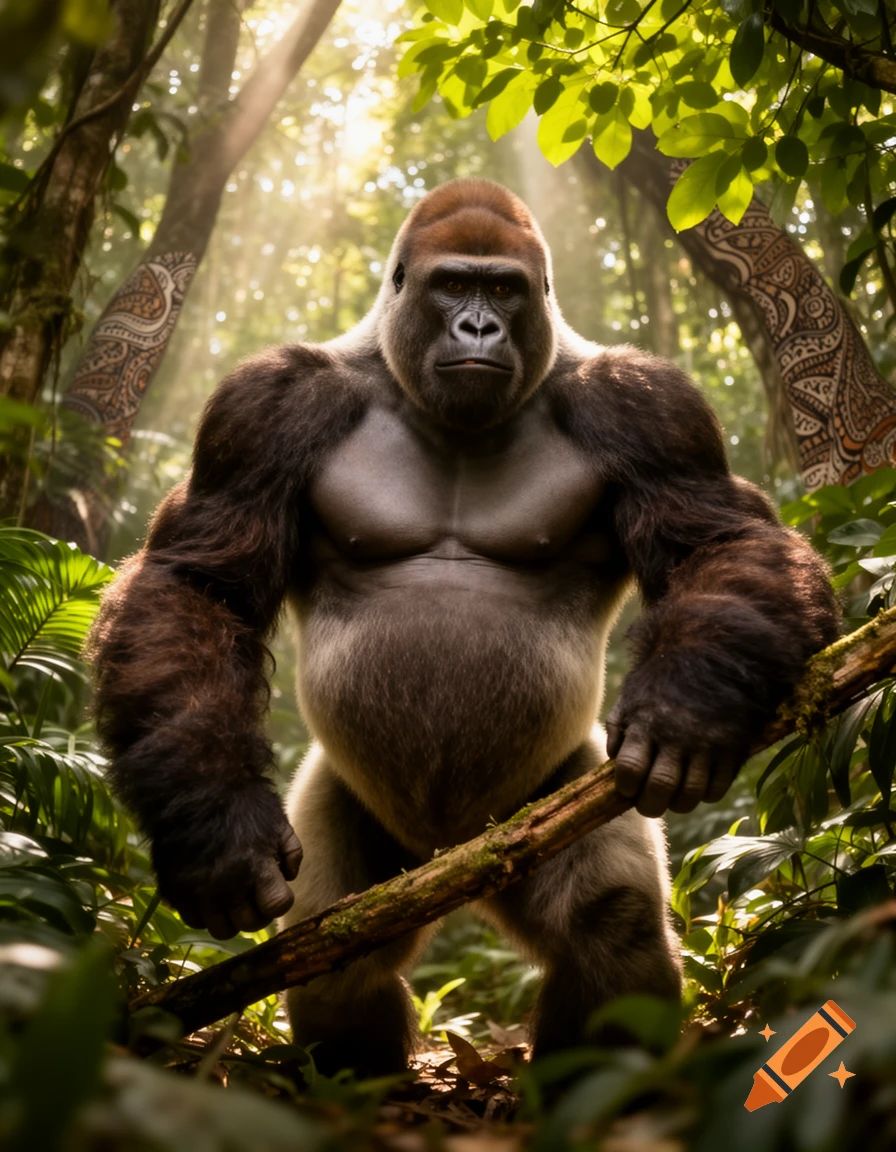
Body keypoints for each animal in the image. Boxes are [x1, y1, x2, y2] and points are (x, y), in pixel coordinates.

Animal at [90, 179, 839, 1077]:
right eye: (452, 285)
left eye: (504, 290)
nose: (478, 327)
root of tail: (451, 860)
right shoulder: (266, 403)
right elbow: (201, 586)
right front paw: (214, 823)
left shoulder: (648, 403)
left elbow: (717, 542)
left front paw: (691, 706)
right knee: (338, 961)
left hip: (550, 799)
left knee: (608, 924)